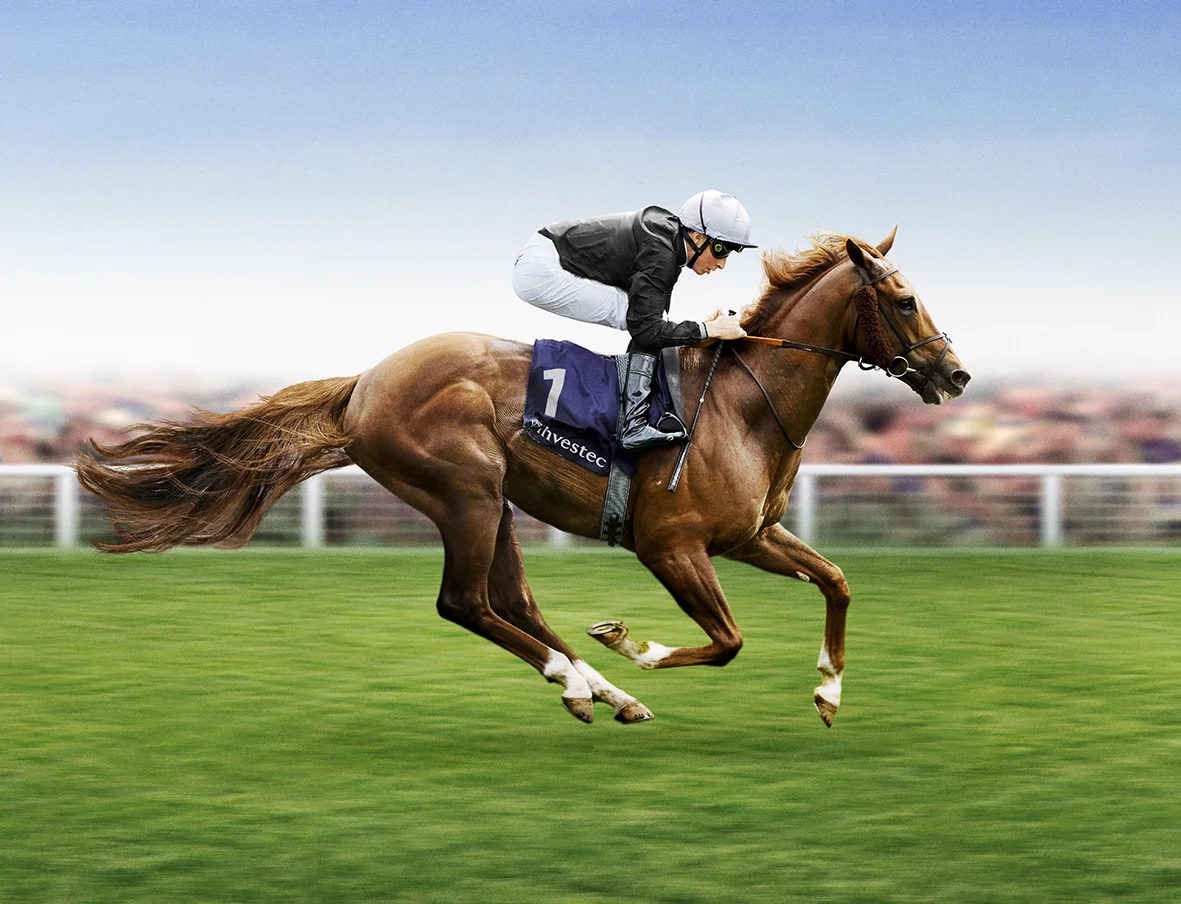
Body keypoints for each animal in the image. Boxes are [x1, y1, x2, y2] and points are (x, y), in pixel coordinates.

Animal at [75, 229, 970, 727]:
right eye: (903, 300)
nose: (954, 375)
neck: (742, 407)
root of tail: (363, 383)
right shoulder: (671, 546)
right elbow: (726, 641)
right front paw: (635, 645)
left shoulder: (750, 534)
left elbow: (837, 581)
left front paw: (828, 694)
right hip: (462, 491)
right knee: (466, 603)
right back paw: (581, 678)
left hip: (491, 500)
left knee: (512, 600)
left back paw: (600, 692)